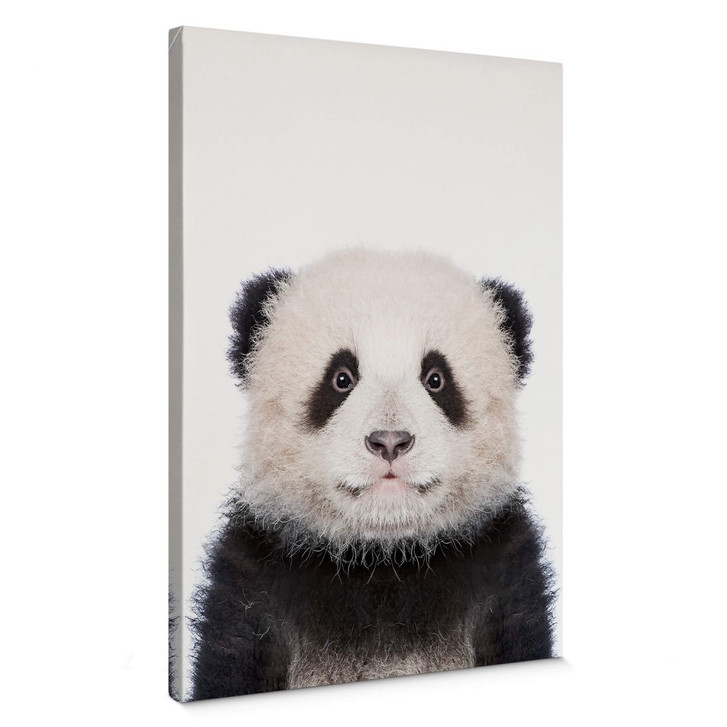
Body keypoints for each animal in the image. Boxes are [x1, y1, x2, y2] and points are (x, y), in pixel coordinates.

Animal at [190, 249, 555, 699]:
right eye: (341, 378)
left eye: (436, 379)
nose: (390, 441)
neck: (383, 559)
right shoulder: (253, 582)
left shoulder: (504, 574)